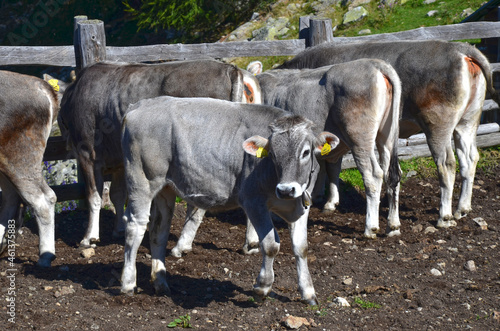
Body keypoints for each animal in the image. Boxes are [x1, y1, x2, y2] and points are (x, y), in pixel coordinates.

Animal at [59, 58, 262, 248]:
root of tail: (231, 69)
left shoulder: (87, 153)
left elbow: (94, 195)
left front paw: (89, 237)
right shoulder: (119, 161)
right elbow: (117, 195)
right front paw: (119, 229)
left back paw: (183, 244)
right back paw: (251, 243)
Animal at [119, 96, 338, 306]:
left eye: (306, 152)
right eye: (273, 154)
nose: (285, 190)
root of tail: (140, 105)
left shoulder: (301, 206)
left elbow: (301, 247)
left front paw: (308, 293)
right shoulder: (252, 201)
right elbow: (270, 245)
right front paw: (262, 287)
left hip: (165, 188)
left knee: (159, 231)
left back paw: (161, 282)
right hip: (141, 180)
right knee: (136, 227)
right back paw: (128, 283)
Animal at [280, 39, 498, 228]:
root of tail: (460, 48)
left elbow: (325, 164)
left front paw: (322, 198)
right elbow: (330, 164)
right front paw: (326, 199)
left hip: (437, 124)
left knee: (447, 164)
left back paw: (444, 216)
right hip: (467, 121)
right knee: (469, 158)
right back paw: (462, 208)